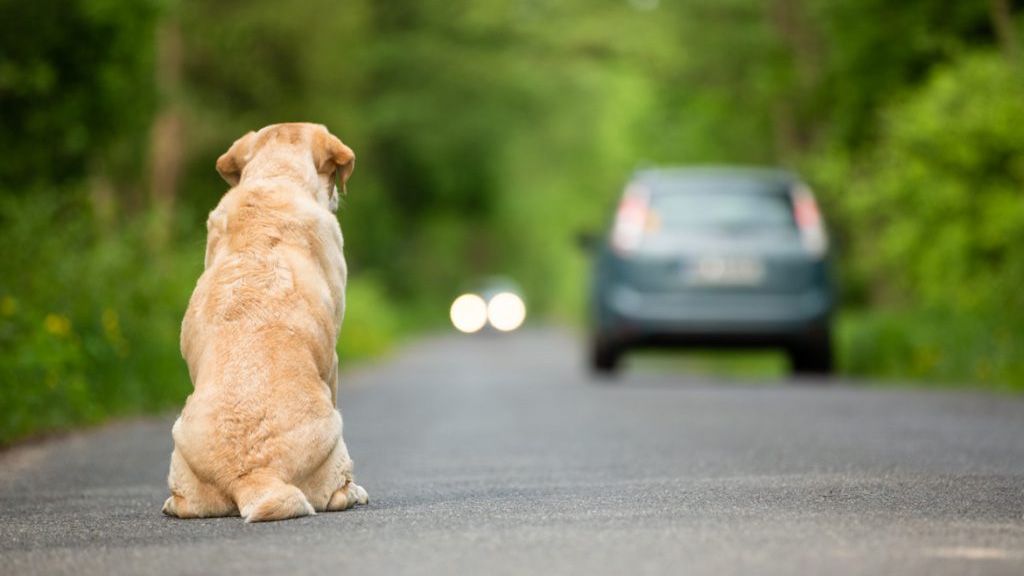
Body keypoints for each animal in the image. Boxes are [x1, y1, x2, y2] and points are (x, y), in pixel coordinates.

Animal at [159, 121, 368, 520]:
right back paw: (353, 492)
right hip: (334, 435)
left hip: (180, 444)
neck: (276, 177)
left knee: (183, 503)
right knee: (335, 491)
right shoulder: (332, 359)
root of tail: (254, 474)